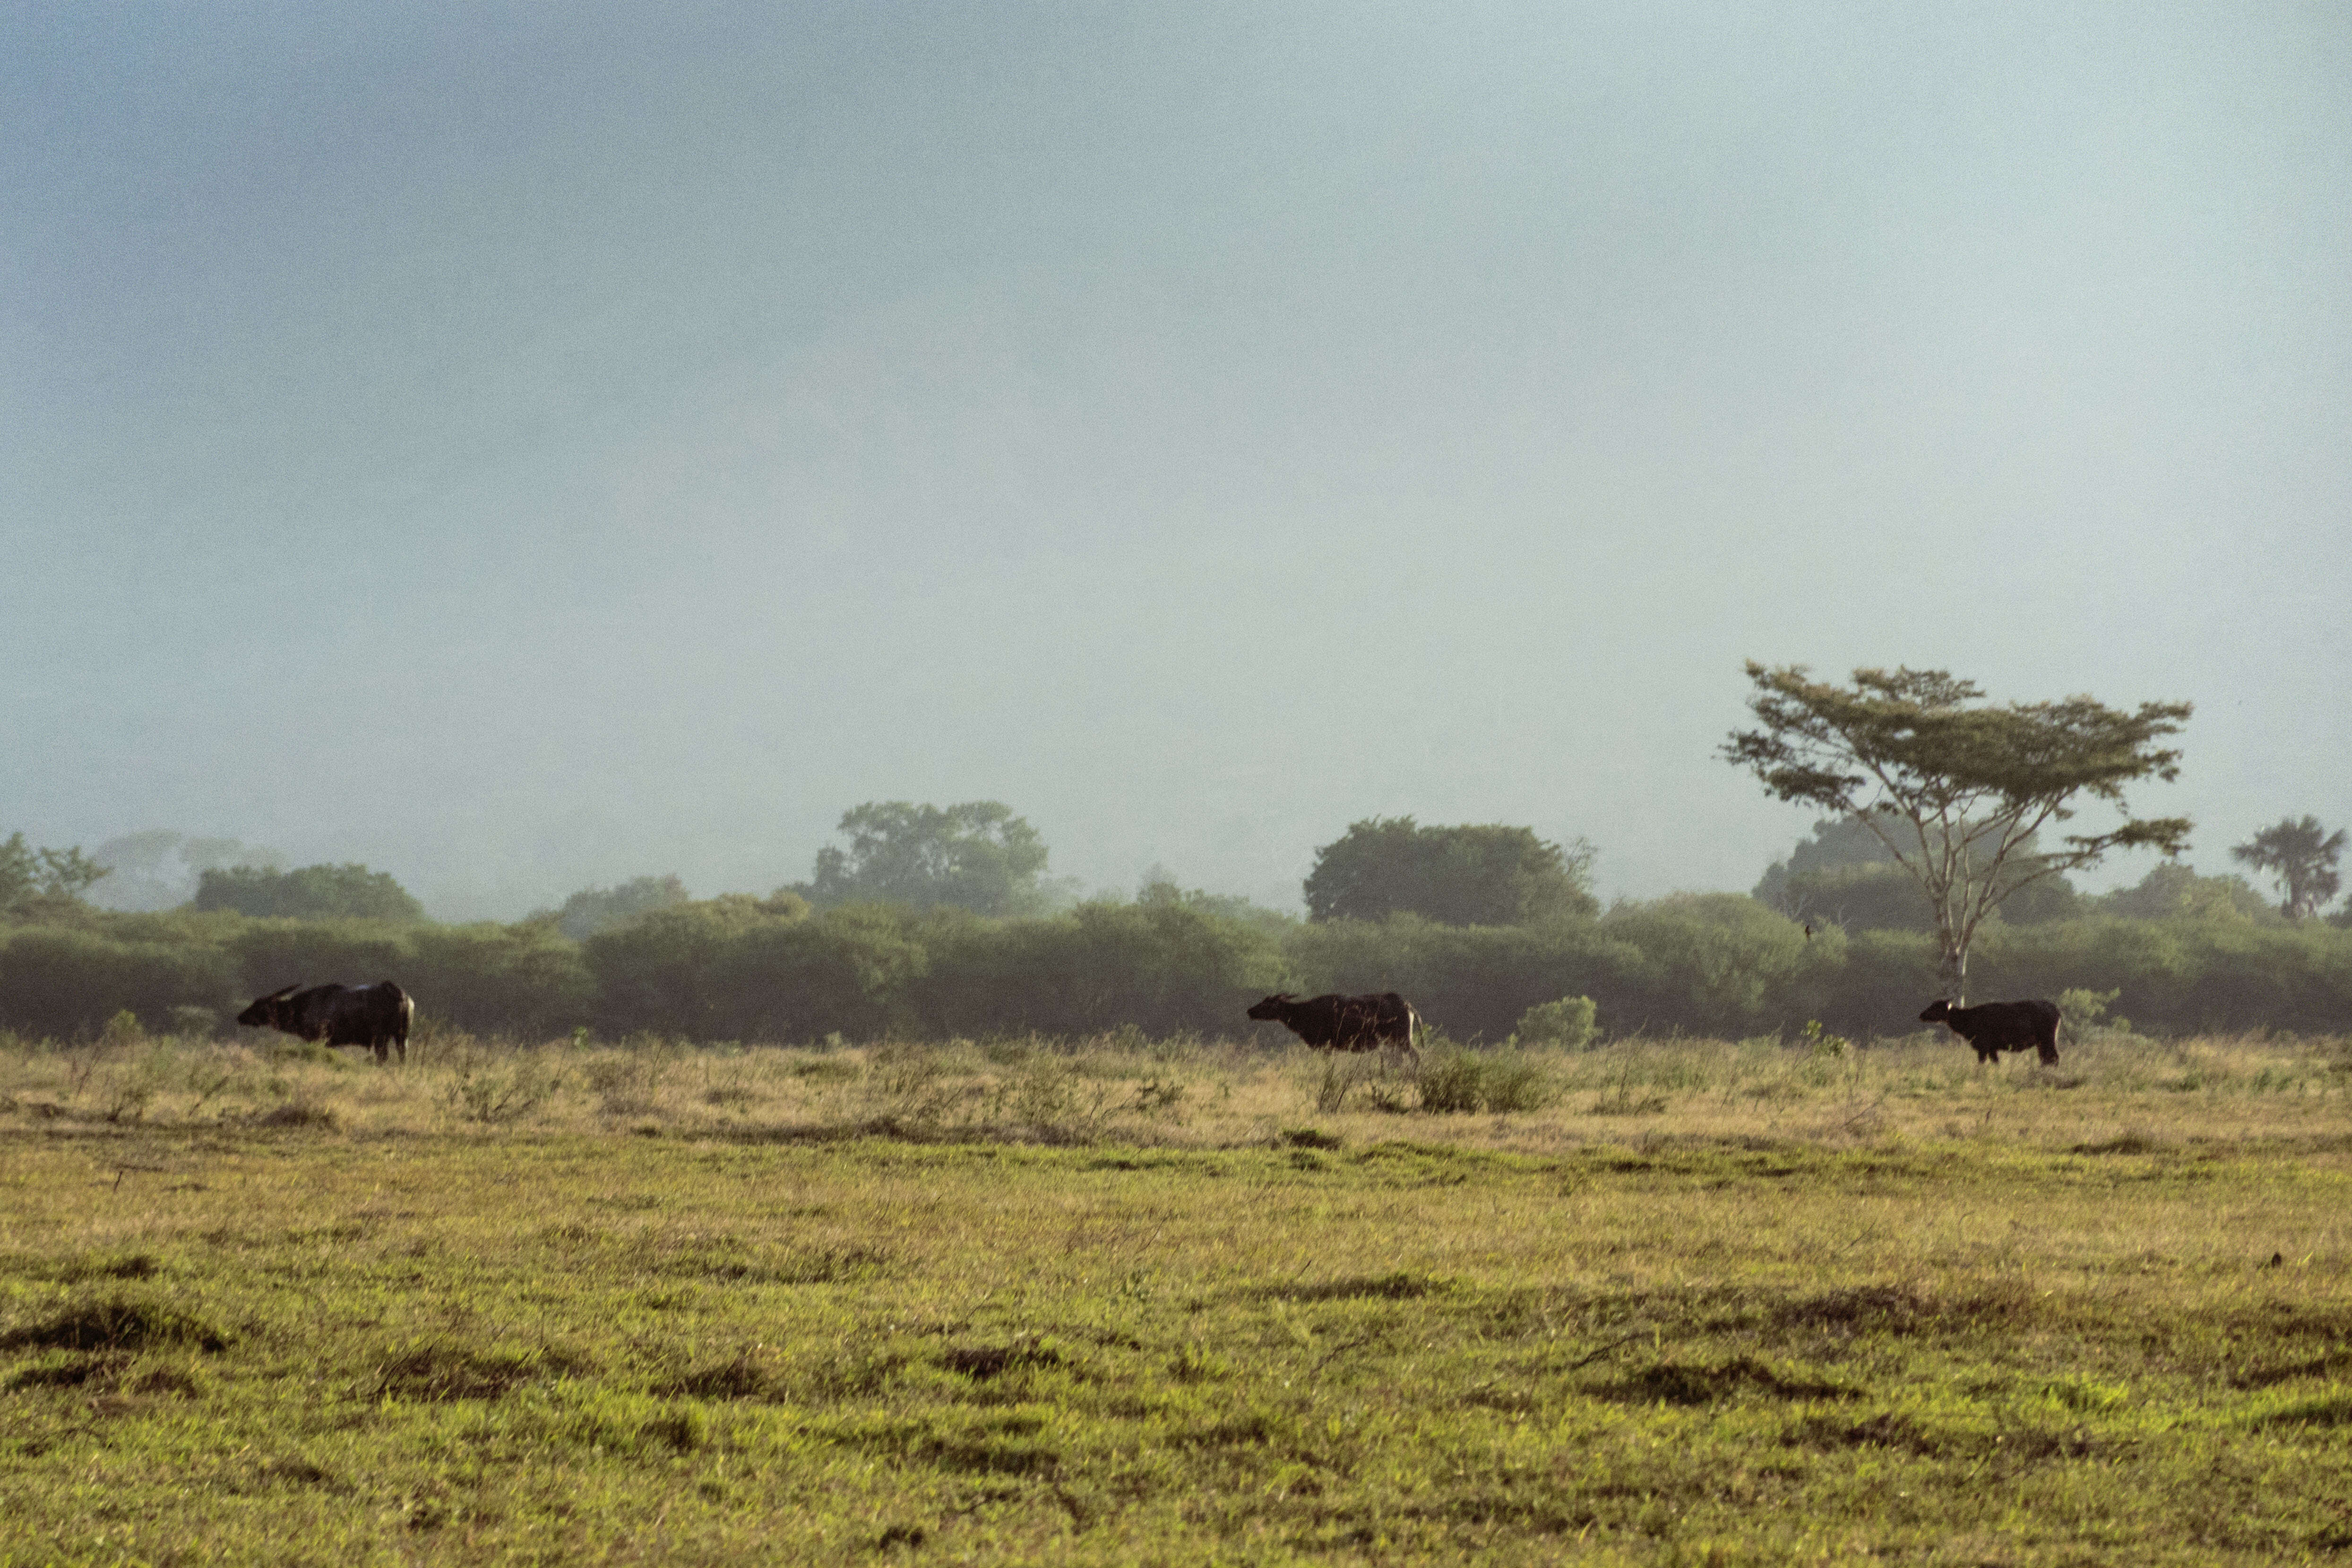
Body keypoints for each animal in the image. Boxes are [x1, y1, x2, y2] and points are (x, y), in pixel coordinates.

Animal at [236, 982, 416, 1067]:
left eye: (259, 1006)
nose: (240, 1017)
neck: (303, 1007)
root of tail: (399, 994)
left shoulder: (317, 1039)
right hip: (401, 1035)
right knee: (402, 1053)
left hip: (381, 1036)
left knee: (383, 1056)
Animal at [1241, 992, 1421, 1067]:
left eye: (1268, 1004)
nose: (1250, 1011)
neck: (1305, 1014)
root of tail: (1408, 1006)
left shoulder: (1324, 1045)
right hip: (1396, 1042)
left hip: (1403, 1039)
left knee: (1416, 1056)